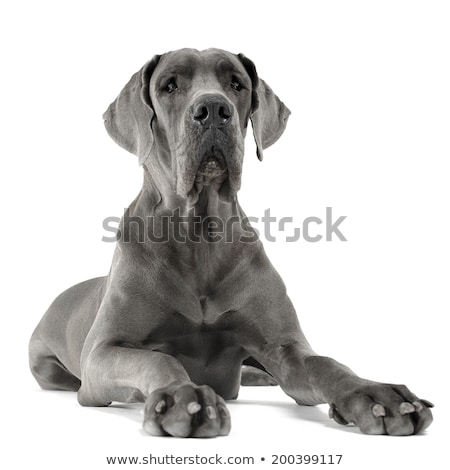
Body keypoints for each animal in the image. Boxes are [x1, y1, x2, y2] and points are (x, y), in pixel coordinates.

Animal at [28, 47, 432, 436]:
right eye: (169, 86)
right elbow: (159, 358)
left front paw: (375, 395)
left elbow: (326, 364)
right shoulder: (102, 351)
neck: (200, 237)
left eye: (236, 84)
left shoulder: (285, 347)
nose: (213, 110)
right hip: (46, 365)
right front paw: (182, 397)